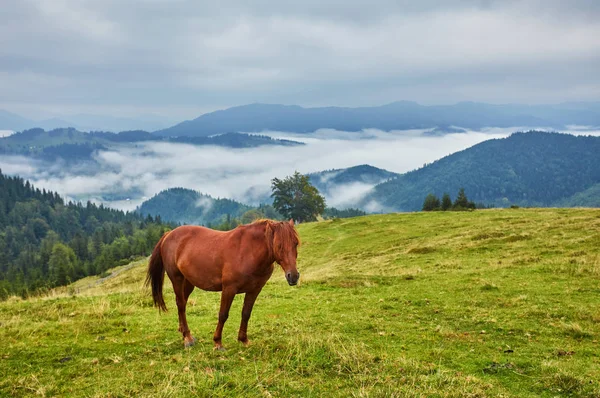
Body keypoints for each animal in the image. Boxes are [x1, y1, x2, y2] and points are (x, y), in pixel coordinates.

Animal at [143, 219, 298, 350]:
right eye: (279, 245)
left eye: (296, 243)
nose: (294, 276)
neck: (248, 251)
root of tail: (168, 234)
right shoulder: (229, 289)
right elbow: (223, 314)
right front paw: (218, 342)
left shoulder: (254, 290)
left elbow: (246, 314)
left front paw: (243, 340)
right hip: (177, 279)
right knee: (181, 305)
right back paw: (188, 338)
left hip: (188, 283)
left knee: (182, 304)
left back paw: (183, 332)